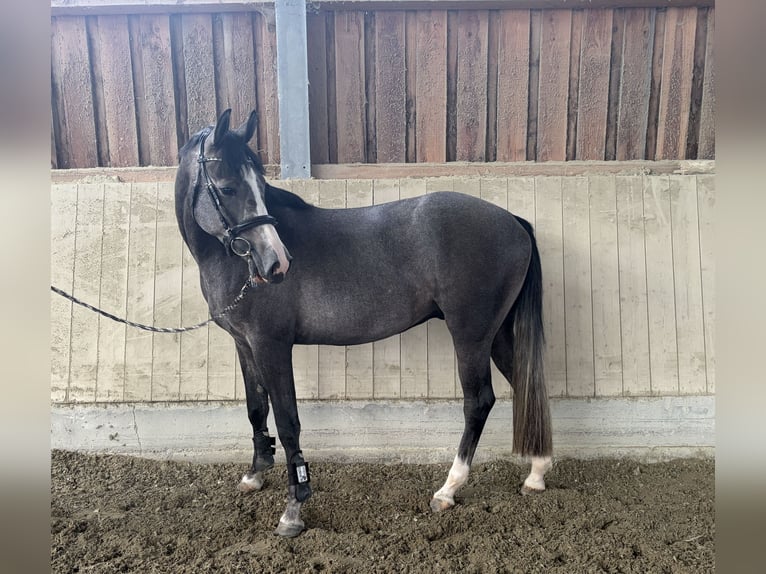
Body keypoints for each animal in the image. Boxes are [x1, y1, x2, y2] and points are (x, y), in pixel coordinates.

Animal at [174, 109, 553, 537]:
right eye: (228, 187)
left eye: (259, 184)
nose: (277, 264)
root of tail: (513, 221)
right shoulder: (244, 344)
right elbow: (257, 409)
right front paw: (254, 475)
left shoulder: (272, 346)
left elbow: (288, 422)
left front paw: (293, 510)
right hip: (497, 333)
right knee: (525, 384)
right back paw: (536, 474)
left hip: (470, 335)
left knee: (479, 401)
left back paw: (448, 489)